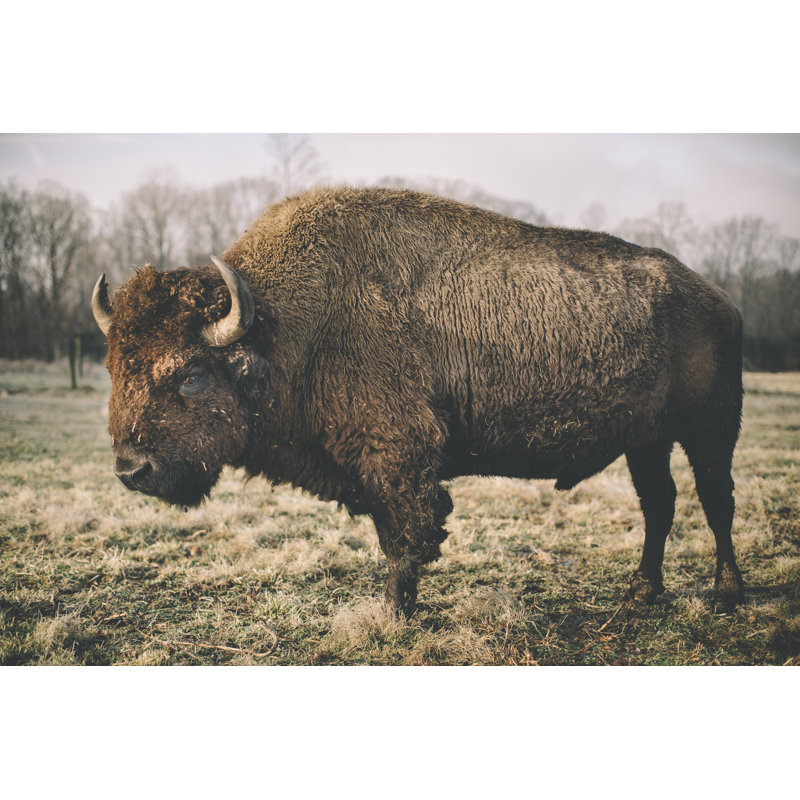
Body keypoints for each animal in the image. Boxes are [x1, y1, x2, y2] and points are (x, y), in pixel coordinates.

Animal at [92, 186, 745, 615]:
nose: (131, 469)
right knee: (660, 504)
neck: (284, 325)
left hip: (710, 430)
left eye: (190, 376)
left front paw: (394, 616)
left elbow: (404, 540)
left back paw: (725, 594)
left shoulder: (398, 458)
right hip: (647, 440)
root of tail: (719, 298)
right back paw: (641, 593)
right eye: (113, 366)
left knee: (715, 502)